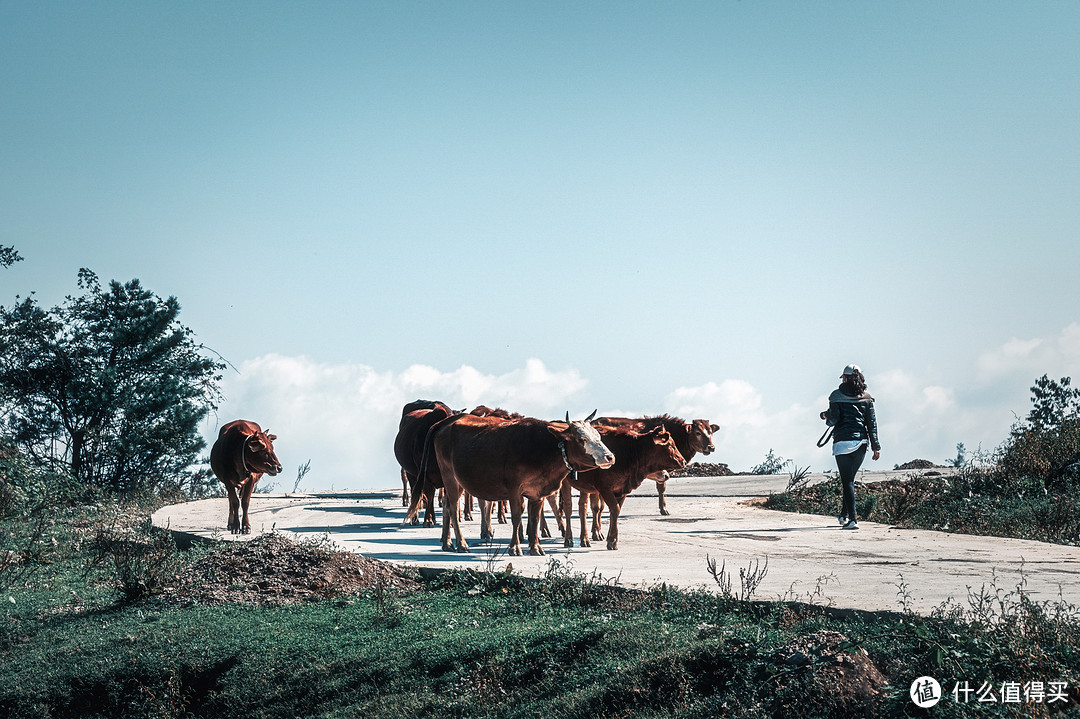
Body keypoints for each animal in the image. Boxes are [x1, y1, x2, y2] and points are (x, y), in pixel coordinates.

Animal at [429, 408, 617, 552]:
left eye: (598, 436)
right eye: (582, 439)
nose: (610, 457)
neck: (544, 448)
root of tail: (446, 422)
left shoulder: (537, 491)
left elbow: (534, 518)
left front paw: (535, 547)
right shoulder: (514, 489)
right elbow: (517, 517)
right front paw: (515, 547)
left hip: (458, 480)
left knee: (446, 506)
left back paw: (447, 543)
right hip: (450, 477)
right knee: (453, 508)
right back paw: (461, 544)